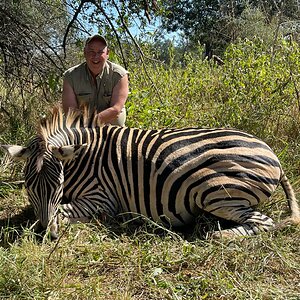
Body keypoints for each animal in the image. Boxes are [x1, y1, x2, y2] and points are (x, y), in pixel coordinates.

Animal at [1, 105, 298, 239]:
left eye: (59, 184)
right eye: (28, 186)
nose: (47, 235)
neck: (82, 158)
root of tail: (271, 152)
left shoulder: (103, 199)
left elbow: (61, 211)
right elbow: (37, 212)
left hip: (215, 190)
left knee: (263, 222)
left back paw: (217, 235)